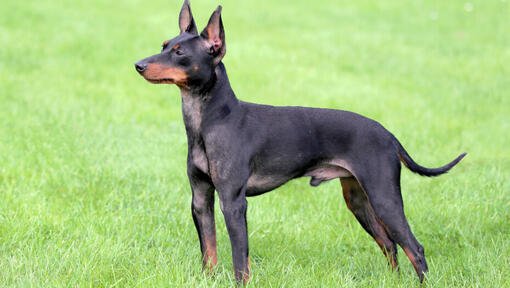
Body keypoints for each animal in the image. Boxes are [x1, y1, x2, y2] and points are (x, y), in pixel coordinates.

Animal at [134, 0, 466, 284]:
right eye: (164, 46)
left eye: (179, 53)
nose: (138, 64)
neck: (210, 120)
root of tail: (388, 134)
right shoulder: (201, 200)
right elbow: (209, 253)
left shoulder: (233, 202)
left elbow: (240, 260)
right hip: (358, 199)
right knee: (390, 245)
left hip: (384, 198)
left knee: (415, 248)